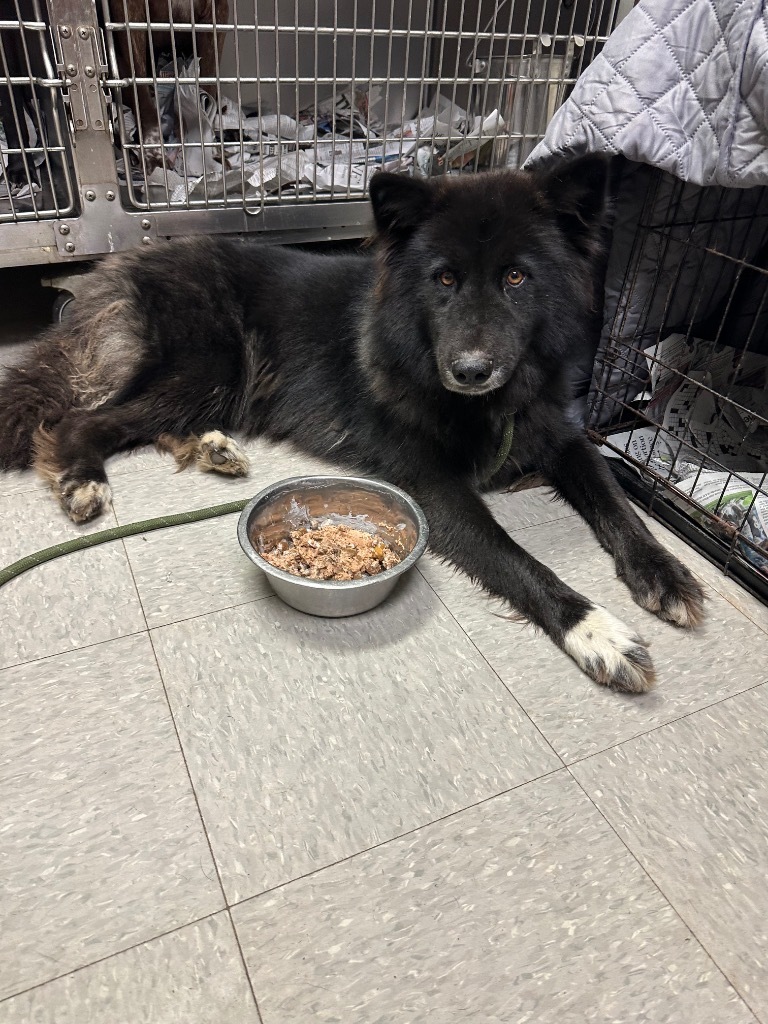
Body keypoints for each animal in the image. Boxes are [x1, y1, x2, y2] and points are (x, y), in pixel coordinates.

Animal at [0, 157, 708, 688]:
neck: (486, 405)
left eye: (516, 277)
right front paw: (594, 629)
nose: (470, 370)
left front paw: (665, 571)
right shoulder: (433, 488)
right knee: (81, 423)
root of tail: (119, 266)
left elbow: (617, 502)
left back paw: (213, 450)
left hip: (213, 385)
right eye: (443, 279)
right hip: (211, 366)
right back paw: (84, 479)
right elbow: (517, 558)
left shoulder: (559, 436)